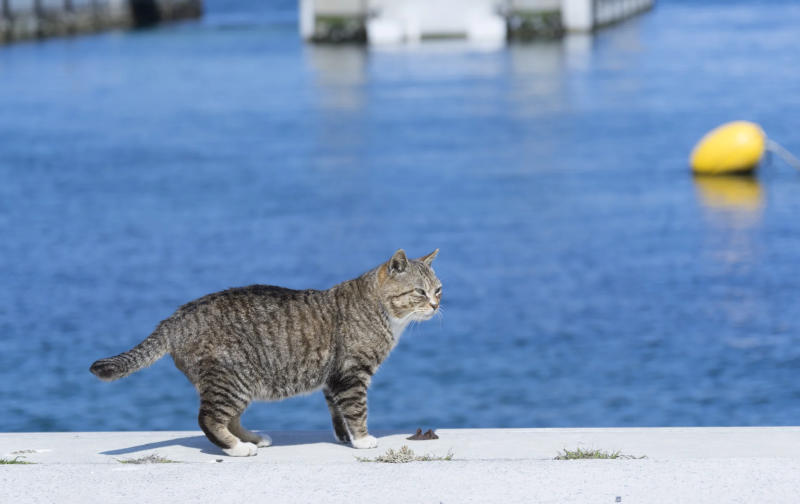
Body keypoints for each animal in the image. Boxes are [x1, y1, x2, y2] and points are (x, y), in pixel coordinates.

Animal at [94, 249, 444, 456]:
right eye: (419, 291)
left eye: (438, 289)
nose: (435, 305)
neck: (380, 311)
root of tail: (176, 317)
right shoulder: (351, 374)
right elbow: (357, 410)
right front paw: (362, 439)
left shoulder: (333, 378)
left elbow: (337, 412)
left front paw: (344, 437)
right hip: (231, 378)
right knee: (209, 418)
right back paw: (237, 448)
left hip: (239, 382)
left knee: (229, 417)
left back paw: (251, 438)